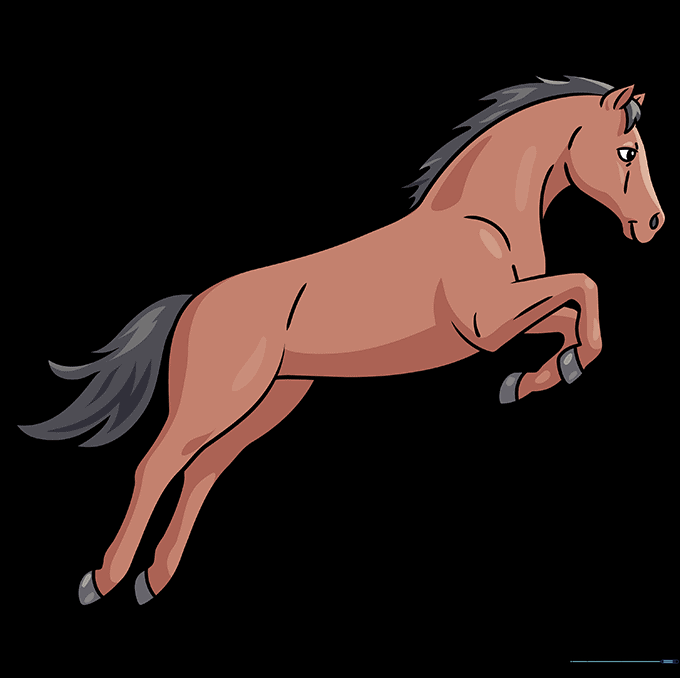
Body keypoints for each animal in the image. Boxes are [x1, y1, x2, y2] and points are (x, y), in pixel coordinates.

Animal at [18, 76, 665, 605]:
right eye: (626, 151)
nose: (653, 225)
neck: (482, 221)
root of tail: (193, 304)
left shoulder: (504, 321)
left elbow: (573, 310)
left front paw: (539, 377)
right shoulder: (487, 322)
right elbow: (585, 284)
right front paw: (555, 370)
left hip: (273, 400)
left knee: (203, 470)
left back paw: (154, 580)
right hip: (215, 401)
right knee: (155, 466)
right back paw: (101, 581)